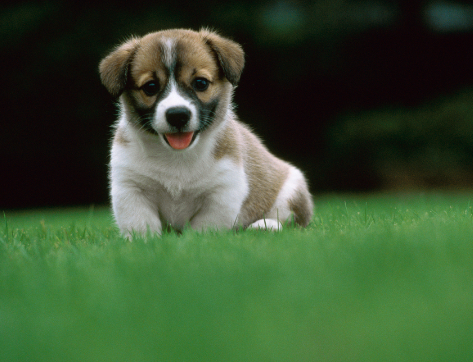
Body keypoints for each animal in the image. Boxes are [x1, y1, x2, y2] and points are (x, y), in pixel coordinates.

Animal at [99, 29, 312, 238]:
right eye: (150, 87)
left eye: (200, 83)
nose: (177, 115)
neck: (176, 158)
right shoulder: (131, 188)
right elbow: (141, 225)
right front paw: (146, 242)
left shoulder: (222, 192)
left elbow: (206, 227)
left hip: (290, 192)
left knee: (290, 221)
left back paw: (265, 226)